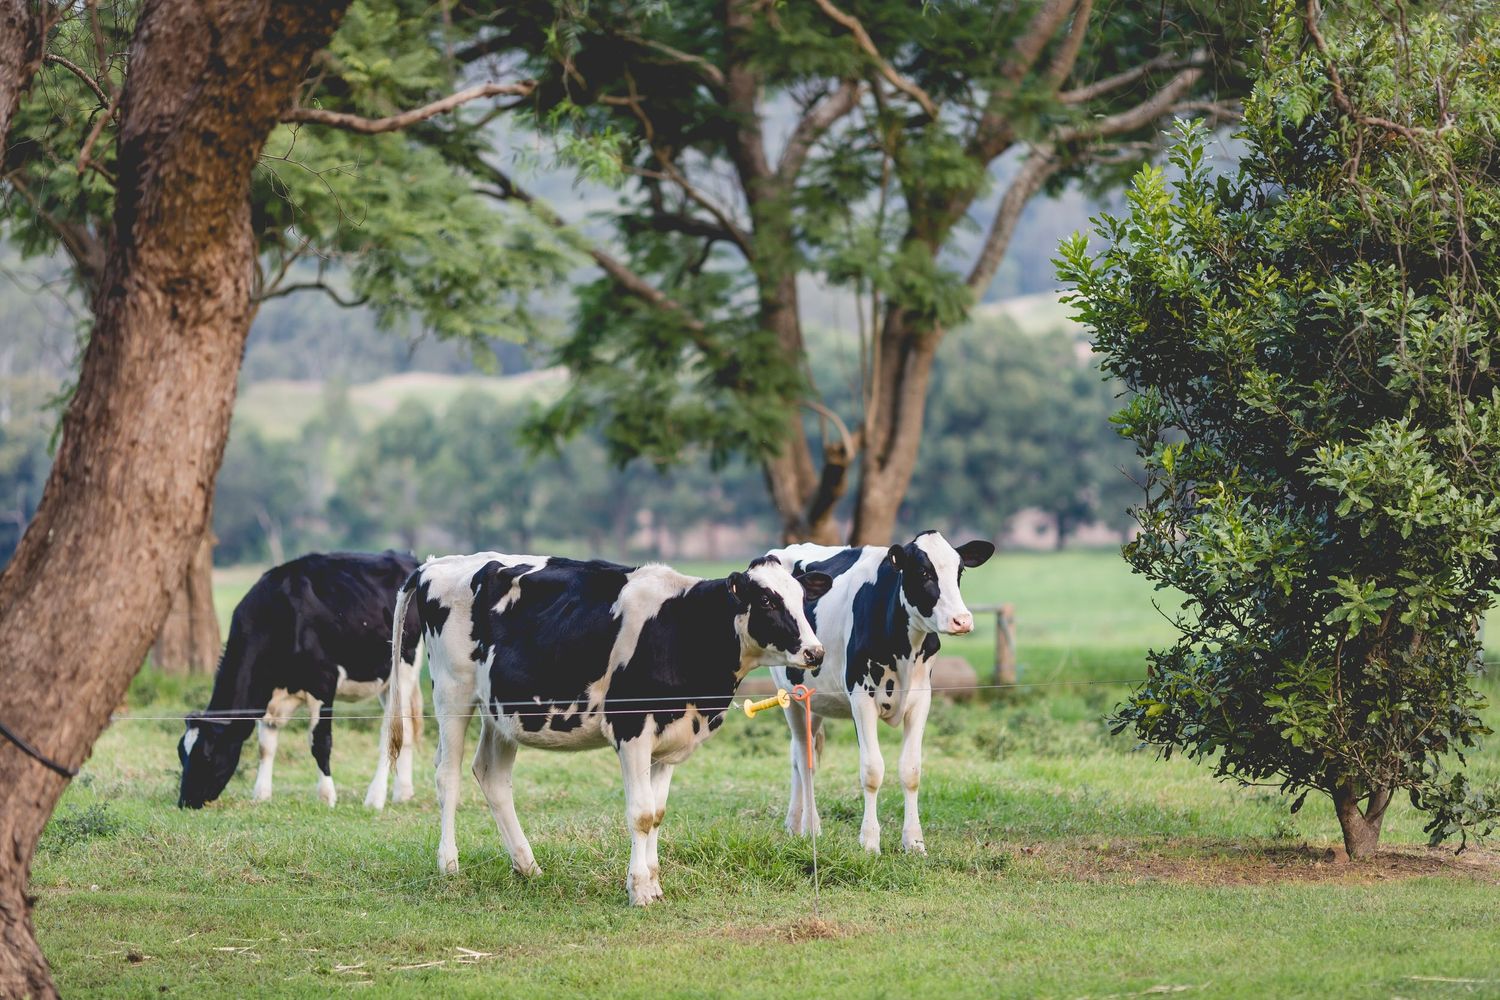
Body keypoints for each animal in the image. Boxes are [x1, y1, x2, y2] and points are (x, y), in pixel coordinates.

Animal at [177, 550, 424, 810]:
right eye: (181, 753)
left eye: (206, 755)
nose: (185, 801)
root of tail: (406, 557)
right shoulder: (270, 697)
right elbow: (266, 746)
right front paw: (261, 794)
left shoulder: (324, 683)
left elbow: (320, 743)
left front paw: (326, 796)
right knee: (405, 730)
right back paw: (403, 793)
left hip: (404, 669)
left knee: (390, 732)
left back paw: (375, 797)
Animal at [380, 552, 831, 906]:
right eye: (767, 600)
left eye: (801, 598)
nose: (815, 651)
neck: (683, 627)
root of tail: (437, 564)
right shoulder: (631, 730)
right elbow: (641, 814)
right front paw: (639, 889)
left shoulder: (670, 739)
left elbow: (658, 813)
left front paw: (654, 882)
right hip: (453, 693)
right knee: (447, 775)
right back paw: (449, 864)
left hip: (502, 711)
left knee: (490, 774)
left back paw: (528, 865)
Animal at [768, 531, 995, 855]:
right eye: (923, 572)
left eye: (959, 571)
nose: (962, 620)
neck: (904, 648)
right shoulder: (861, 698)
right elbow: (872, 770)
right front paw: (869, 842)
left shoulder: (921, 699)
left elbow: (911, 771)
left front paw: (914, 843)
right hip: (790, 697)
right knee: (803, 758)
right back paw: (810, 826)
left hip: (816, 700)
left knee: (799, 756)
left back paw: (795, 825)